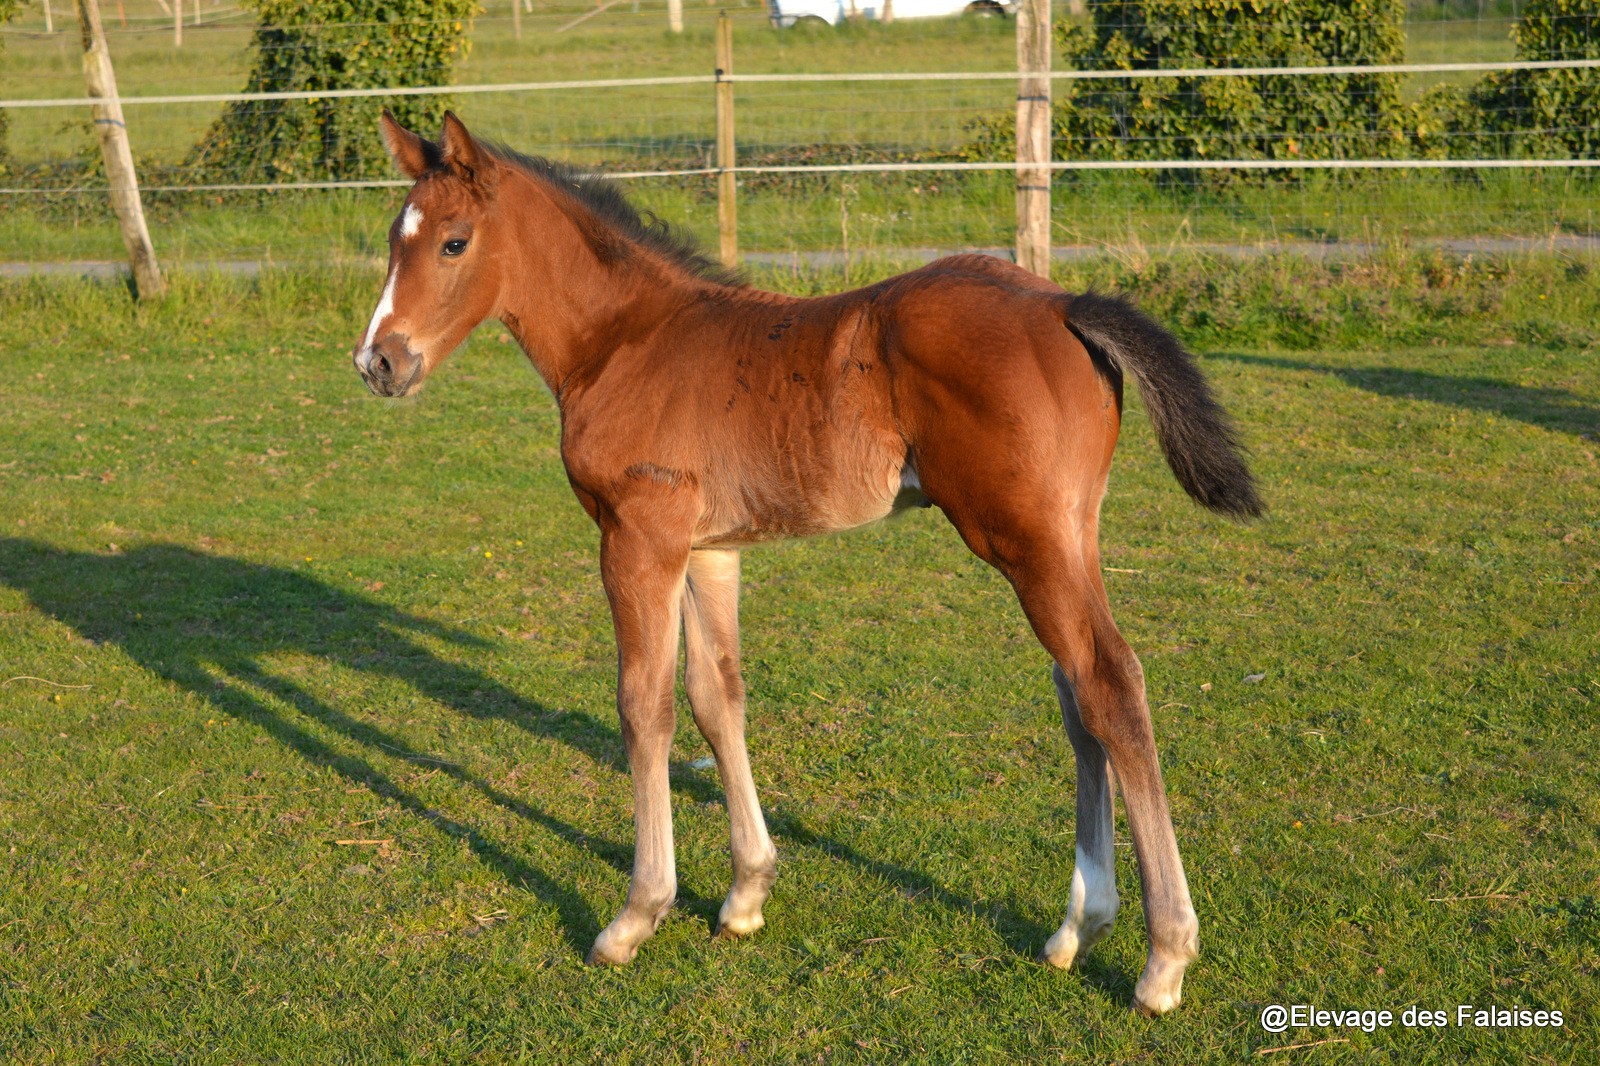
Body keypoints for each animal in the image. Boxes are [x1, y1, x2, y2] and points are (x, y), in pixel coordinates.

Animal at [353, 109, 1260, 1011]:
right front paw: (747, 892)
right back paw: (1077, 929)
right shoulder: (708, 550)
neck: (623, 342)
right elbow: (716, 697)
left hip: (1023, 540)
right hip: (1067, 536)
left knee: (1109, 685)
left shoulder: (637, 539)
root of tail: (1063, 300)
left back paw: (1163, 958)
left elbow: (643, 708)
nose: (378, 363)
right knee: (1077, 698)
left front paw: (637, 914)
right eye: (395, 239)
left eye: (454, 243)